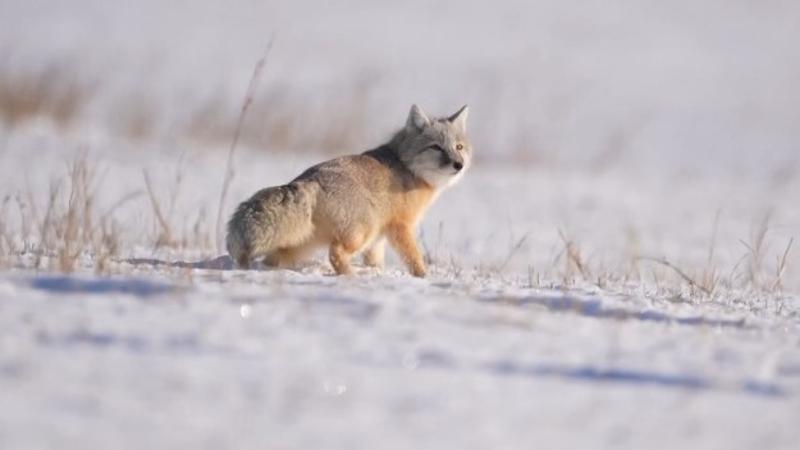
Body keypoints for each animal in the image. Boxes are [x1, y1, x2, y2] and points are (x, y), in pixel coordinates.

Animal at [225, 103, 472, 276]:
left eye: (459, 147)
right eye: (436, 147)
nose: (458, 164)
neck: (407, 166)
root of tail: (308, 180)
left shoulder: (381, 235)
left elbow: (375, 260)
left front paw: (377, 273)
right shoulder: (400, 226)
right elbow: (414, 258)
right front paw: (423, 277)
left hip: (306, 244)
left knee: (274, 260)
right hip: (363, 231)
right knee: (335, 254)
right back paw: (351, 276)